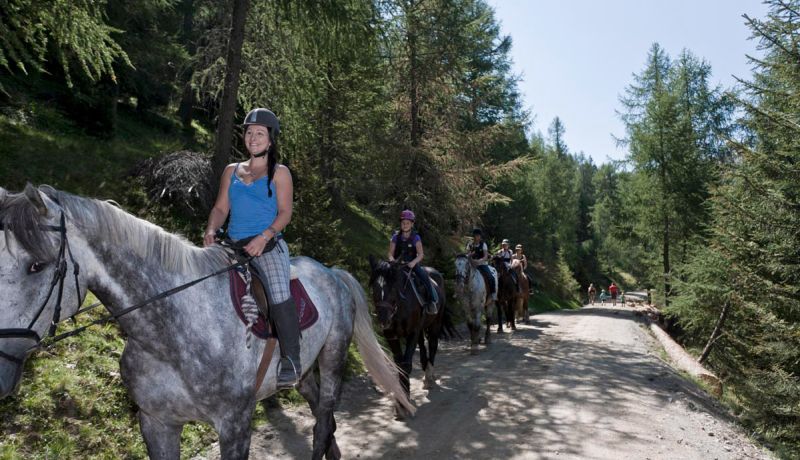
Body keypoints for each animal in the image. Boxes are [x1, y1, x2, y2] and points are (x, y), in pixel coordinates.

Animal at [0, 184, 412, 460]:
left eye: (37, 265)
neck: (170, 332)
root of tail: (331, 272)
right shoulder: (157, 423)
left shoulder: (234, 426)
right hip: (303, 372)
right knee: (319, 416)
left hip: (332, 357)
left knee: (324, 419)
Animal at [368, 258, 446, 396]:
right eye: (374, 288)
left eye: (393, 287)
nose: (383, 319)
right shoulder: (391, 335)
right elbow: (399, 364)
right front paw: (402, 393)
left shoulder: (412, 333)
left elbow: (406, 365)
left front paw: (406, 393)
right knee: (422, 344)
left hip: (436, 323)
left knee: (432, 344)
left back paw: (428, 377)